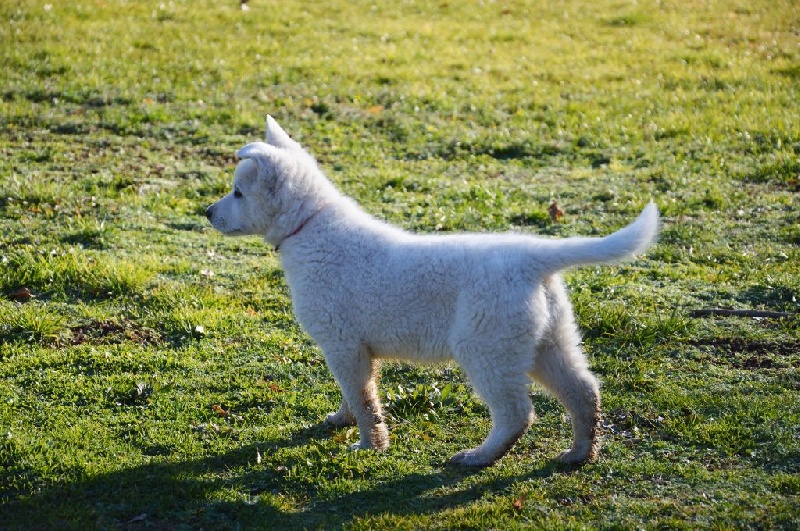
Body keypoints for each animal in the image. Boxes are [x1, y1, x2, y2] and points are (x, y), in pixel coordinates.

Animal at [206, 116, 659, 466]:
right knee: (584, 391)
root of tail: (533, 257)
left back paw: (479, 457)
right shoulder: (352, 350)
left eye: (239, 193)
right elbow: (354, 395)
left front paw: (369, 446)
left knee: (517, 412)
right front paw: (341, 421)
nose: (207, 212)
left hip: (485, 348)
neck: (310, 226)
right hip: (547, 342)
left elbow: (365, 401)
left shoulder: (343, 343)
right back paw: (580, 453)